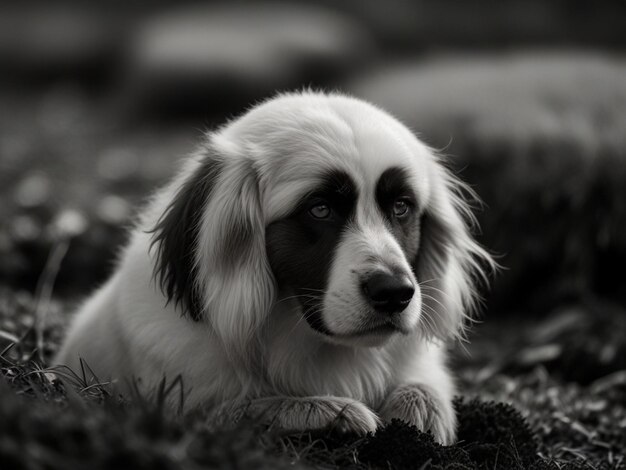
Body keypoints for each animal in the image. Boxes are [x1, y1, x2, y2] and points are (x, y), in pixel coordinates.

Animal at [53, 92, 490, 444]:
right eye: (320, 208)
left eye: (401, 206)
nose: (395, 293)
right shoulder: (183, 405)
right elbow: (242, 408)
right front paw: (335, 412)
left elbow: (423, 391)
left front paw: (415, 414)